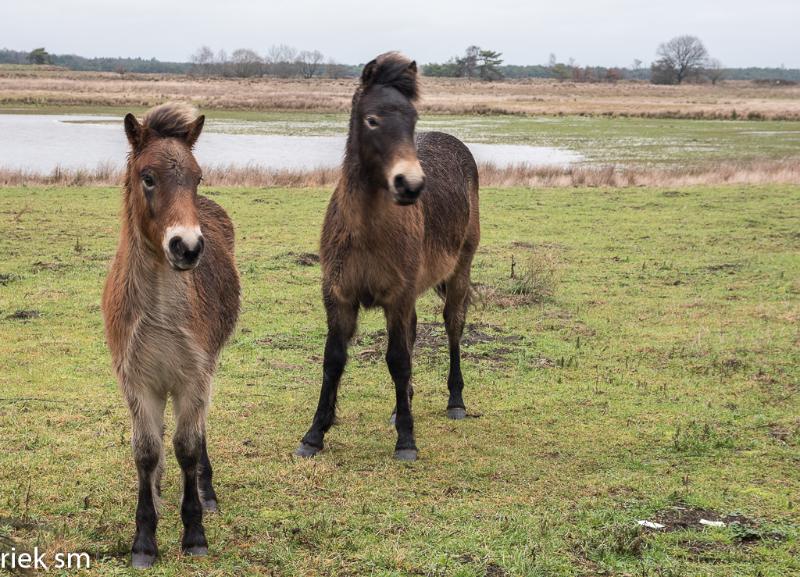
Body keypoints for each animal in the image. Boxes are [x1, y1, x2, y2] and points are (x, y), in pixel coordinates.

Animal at [100, 102, 239, 568]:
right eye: (148, 176)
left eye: (197, 177)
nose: (187, 246)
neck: (160, 313)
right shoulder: (138, 382)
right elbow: (146, 451)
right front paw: (144, 539)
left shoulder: (193, 377)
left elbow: (187, 448)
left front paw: (194, 532)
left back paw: (206, 491)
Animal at [296, 51, 478, 462]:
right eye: (372, 119)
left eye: (413, 120)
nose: (410, 185)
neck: (366, 233)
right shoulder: (339, 297)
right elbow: (333, 360)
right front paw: (314, 435)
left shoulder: (397, 296)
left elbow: (397, 359)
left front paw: (406, 441)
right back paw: (400, 407)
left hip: (459, 271)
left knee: (453, 326)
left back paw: (456, 402)